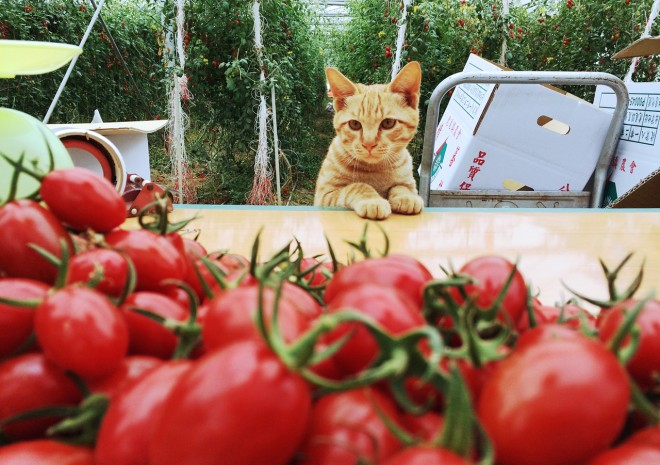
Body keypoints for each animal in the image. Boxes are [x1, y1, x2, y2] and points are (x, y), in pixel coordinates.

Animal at [314, 61, 422, 219]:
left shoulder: (409, 182)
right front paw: (373, 200)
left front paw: (406, 197)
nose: (369, 144)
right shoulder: (324, 195)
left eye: (388, 123)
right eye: (354, 124)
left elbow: (401, 186)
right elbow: (357, 186)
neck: (376, 169)